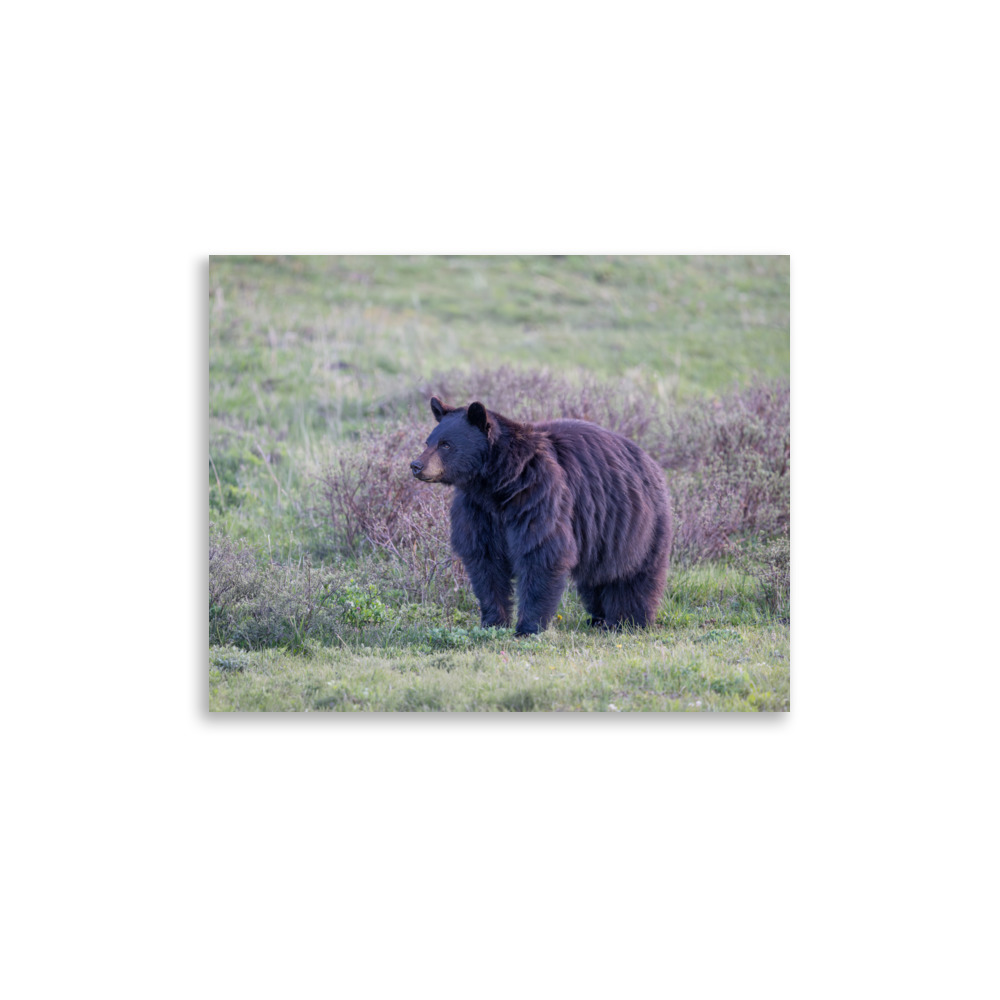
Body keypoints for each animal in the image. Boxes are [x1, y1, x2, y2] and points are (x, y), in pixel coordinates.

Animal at [410, 396, 672, 636]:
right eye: (428, 441)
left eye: (446, 444)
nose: (416, 465)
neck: (497, 483)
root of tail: (651, 462)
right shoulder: (478, 510)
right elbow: (485, 561)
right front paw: (493, 622)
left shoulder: (538, 494)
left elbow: (541, 552)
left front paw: (528, 627)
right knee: (597, 578)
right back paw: (598, 618)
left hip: (637, 524)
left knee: (634, 575)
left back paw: (628, 620)